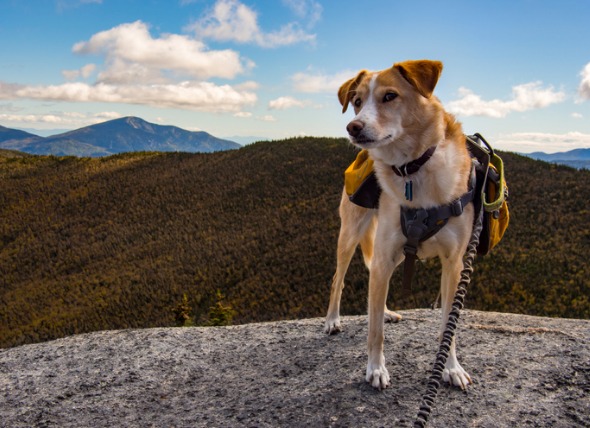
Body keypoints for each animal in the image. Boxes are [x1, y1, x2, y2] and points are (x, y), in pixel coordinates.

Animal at [326, 60, 474, 392]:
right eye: (357, 101)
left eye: (390, 96)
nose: (353, 127)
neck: (414, 169)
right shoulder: (384, 254)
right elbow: (374, 331)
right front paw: (375, 369)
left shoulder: (454, 264)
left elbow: (449, 325)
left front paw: (451, 367)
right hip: (351, 235)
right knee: (339, 279)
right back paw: (332, 320)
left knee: (375, 294)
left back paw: (386, 312)